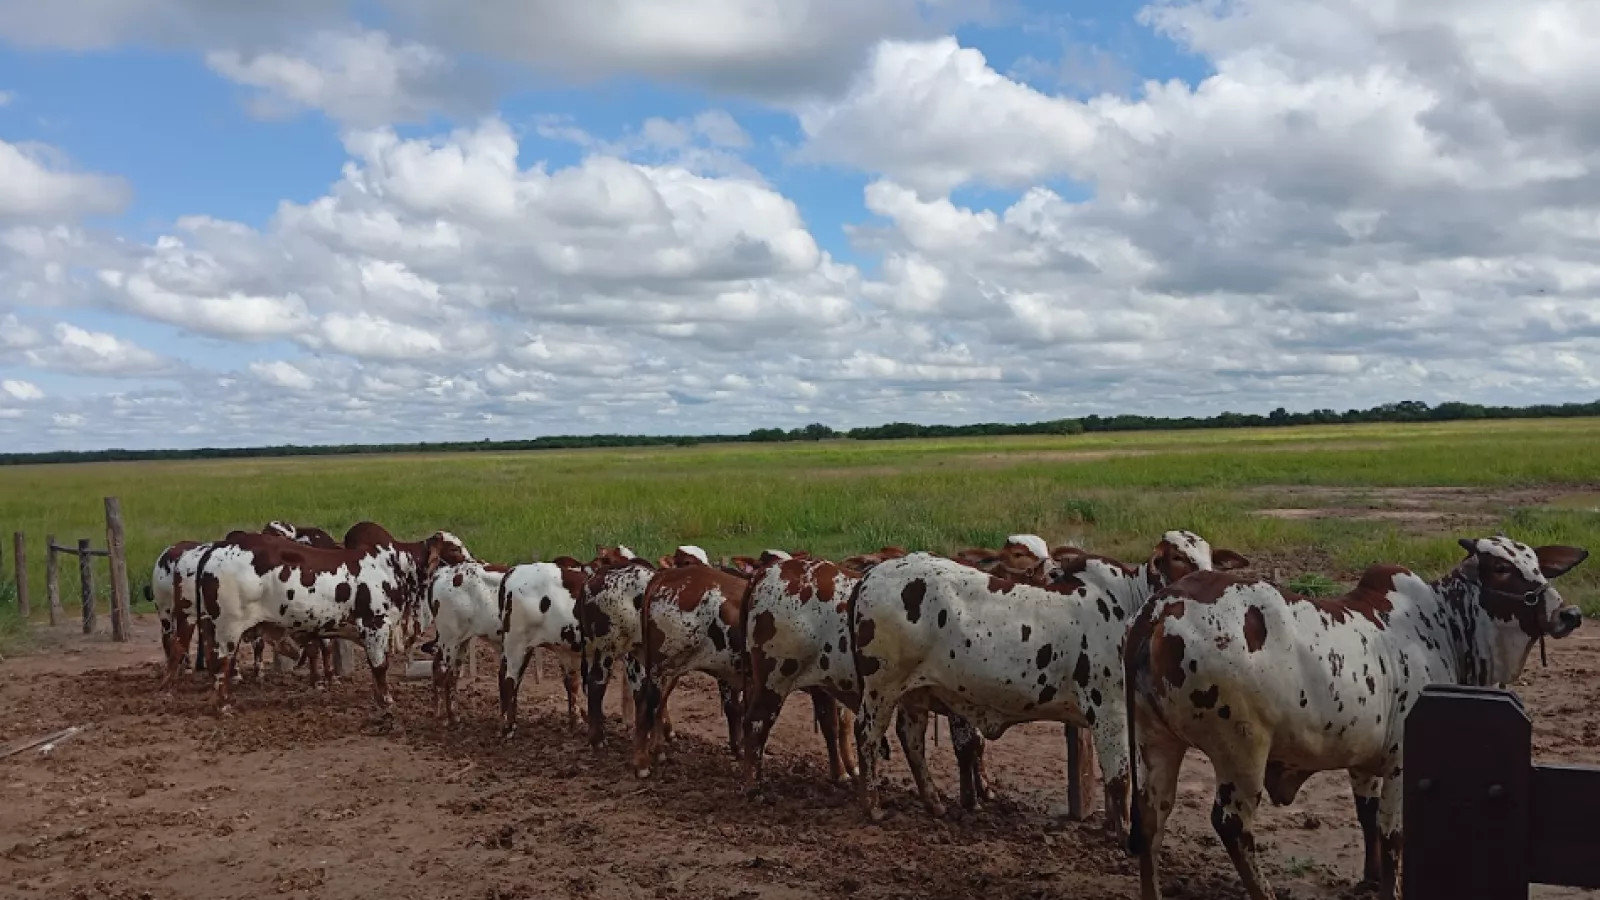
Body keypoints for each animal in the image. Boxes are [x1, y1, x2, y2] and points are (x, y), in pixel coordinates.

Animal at [192, 524, 468, 714]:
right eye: (454, 548)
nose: (473, 562)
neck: (395, 566)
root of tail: (215, 549)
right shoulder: (375, 626)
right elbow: (380, 666)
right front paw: (387, 701)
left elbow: (375, 666)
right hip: (227, 628)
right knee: (220, 664)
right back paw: (223, 706)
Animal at [631, 548, 753, 778]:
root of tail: (666, 575)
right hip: (662, 666)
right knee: (647, 704)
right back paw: (641, 763)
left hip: (670, 670)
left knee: (656, 704)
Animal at [850, 531, 1247, 833]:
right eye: (1178, 557)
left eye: (1209, 556)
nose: (1206, 581)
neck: (1128, 607)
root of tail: (872, 575)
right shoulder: (1109, 711)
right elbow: (1118, 779)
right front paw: (1119, 834)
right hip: (880, 688)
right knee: (867, 735)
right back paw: (873, 807)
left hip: (914, 692)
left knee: (912, 739)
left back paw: (933, 804)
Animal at [1124, 535, 1587, 900]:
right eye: (1501, 568)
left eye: (1537, 565)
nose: (1568, 614)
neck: (1445, 625)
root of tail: (1161, 608)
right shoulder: (1403, 758)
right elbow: (1393, 834)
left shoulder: (1364, 760)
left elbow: (1368, 818)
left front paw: (1368, 880)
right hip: (1241, 749)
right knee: (1232, 825)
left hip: (1157, 741)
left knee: (1151, 815)